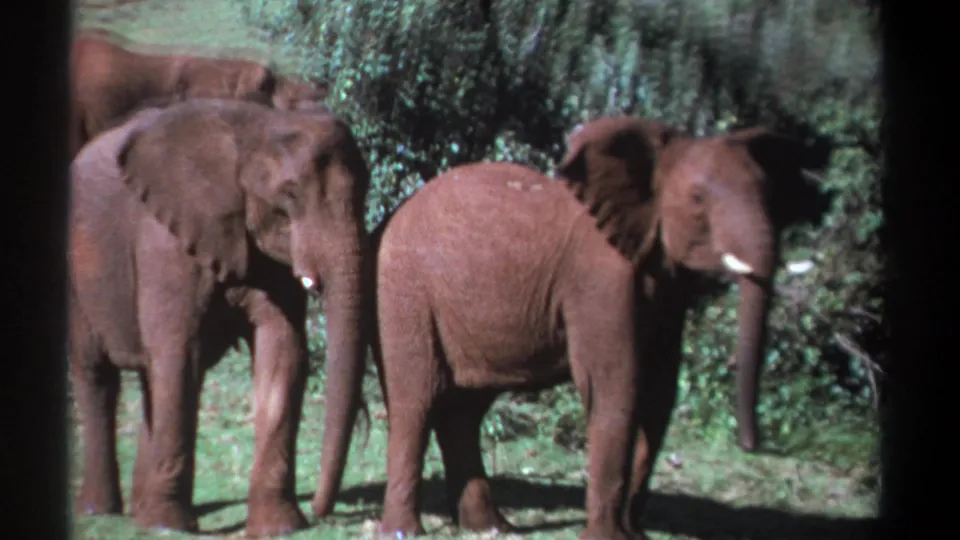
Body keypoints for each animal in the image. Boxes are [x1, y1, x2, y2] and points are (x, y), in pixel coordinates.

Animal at [68, 98, 370, 537]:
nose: (321, 512)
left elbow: (283, 352)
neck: (258, 128)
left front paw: (279, 526)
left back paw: (140, 511)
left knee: (149, 377)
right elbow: (179, 355)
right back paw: (103, 512)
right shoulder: (165, 241)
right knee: (98, 376)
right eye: (290, 196)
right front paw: (170, 526)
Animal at [366, 114, 828, 539]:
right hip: (403, 296)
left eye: (771, 196)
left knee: (464, 411)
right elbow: (616, 384)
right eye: (698, 199)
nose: (752, 445)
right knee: (415, 401)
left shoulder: (665, 286)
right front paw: (611, 537)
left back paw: (492, 528)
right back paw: (405, 531)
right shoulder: (600, 279)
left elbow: (659, 393)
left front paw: (635, 535)